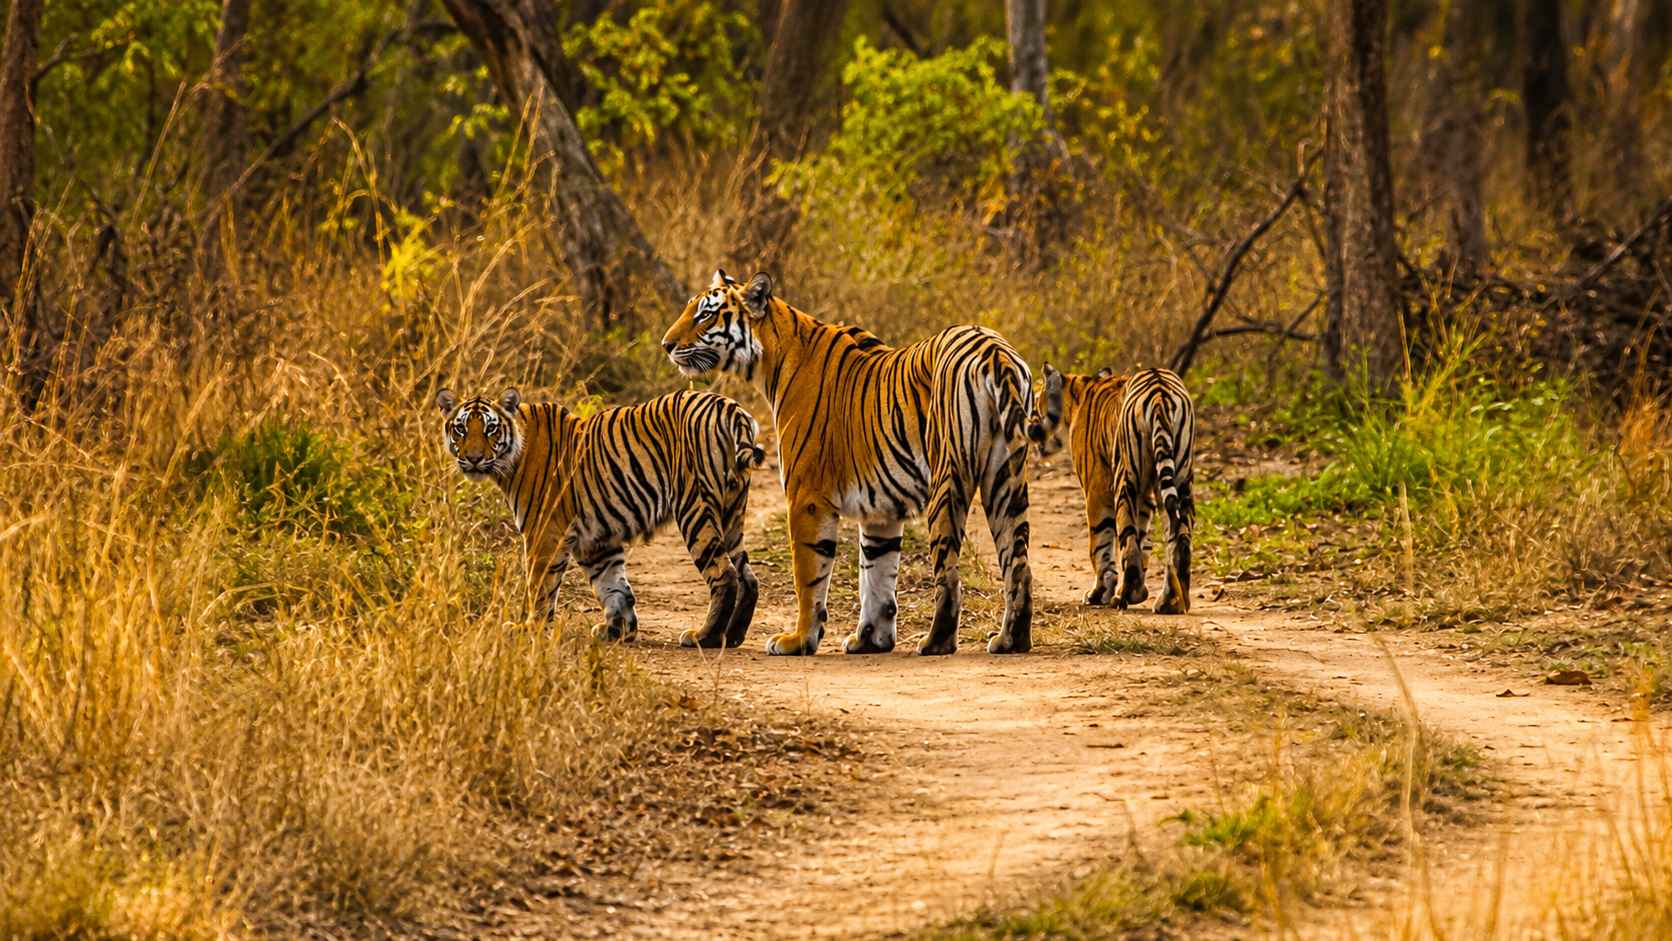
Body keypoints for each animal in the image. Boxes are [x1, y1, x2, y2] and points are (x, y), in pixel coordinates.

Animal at [436, 386, 764, 647]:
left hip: (695, 506)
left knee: (725, 574)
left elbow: (540, 587)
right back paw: (732, 636)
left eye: (490, 429)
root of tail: (729, 406)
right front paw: (618, 630)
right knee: (747, 575)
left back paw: (705, 637)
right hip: (731, 512)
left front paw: (529, 627)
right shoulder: (595, 540)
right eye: (461, 429)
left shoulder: (545, 532)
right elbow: (613, 586)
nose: (474, 458)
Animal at [660, 269, 1034, 657]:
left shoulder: (806, 497)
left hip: (948, 477)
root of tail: (993, 350)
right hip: (1005, 477)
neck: (771, 358)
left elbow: (809, 575)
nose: (666, 345)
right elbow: (876, 574)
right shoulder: (881, 508)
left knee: (949, 571)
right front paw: (870, 639)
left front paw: (798, 639)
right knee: (1018, 563)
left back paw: (935, 642)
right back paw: (1011, 640)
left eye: (705, 315)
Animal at [1028, 365, 1196, 614]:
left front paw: (1099, 593)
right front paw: (1138, 592)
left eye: (1037, 402)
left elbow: (1101, 544)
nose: (1030, 426)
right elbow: (1144, 540)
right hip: (1180, 477)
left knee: (1128, 542)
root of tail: (1159, 391)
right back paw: (1171, 601)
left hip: (1125, 479)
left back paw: (1124, 597)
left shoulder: (1096, 488)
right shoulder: (1146, 493)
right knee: (1179, 539)